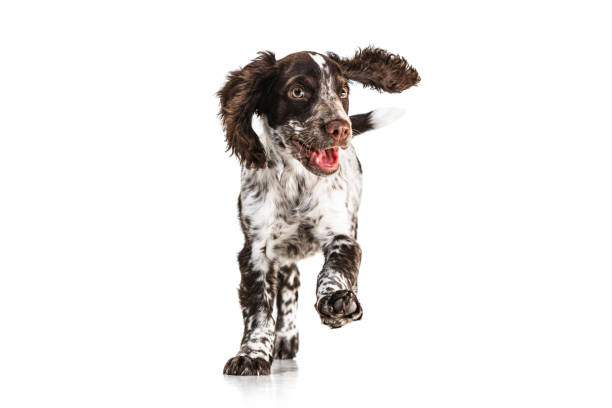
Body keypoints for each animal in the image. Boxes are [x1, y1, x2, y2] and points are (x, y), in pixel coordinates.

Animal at [218, 47, 418, 376]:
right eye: (297, 91)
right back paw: (285, 339)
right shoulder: (256, 250)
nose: (341, 128)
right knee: (289, 286)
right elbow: (259, 307)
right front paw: (252, 354)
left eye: (343, 91)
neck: (297, 181)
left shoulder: (341, 235)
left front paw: (336, 302)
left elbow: (335, 270)